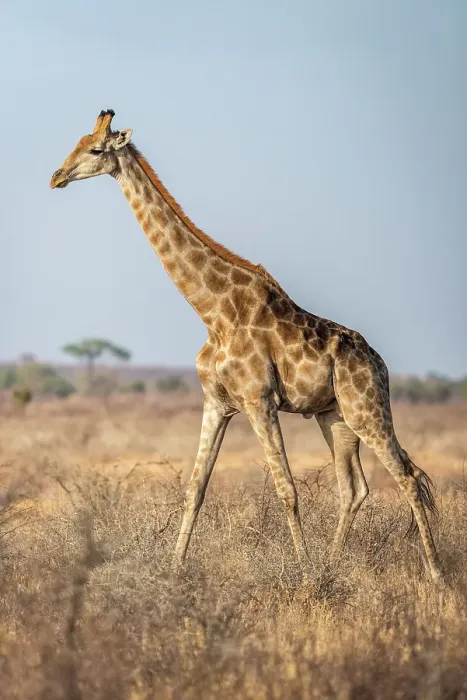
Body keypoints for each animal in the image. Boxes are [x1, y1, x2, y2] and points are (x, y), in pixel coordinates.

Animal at [50, 109, 443, 584]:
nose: (56, 177)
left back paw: (436, 575)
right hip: (336, 417)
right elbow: (195, 488)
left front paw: (303, 574)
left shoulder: (259, 400)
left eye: (95, 149)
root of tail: (381, 364)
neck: (214, 312)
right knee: (355, 488)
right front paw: (175, 569)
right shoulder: (217, 402)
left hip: (367, 409)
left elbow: (286, 488)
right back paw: (334, 566)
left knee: (406, 477)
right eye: (75, 142)